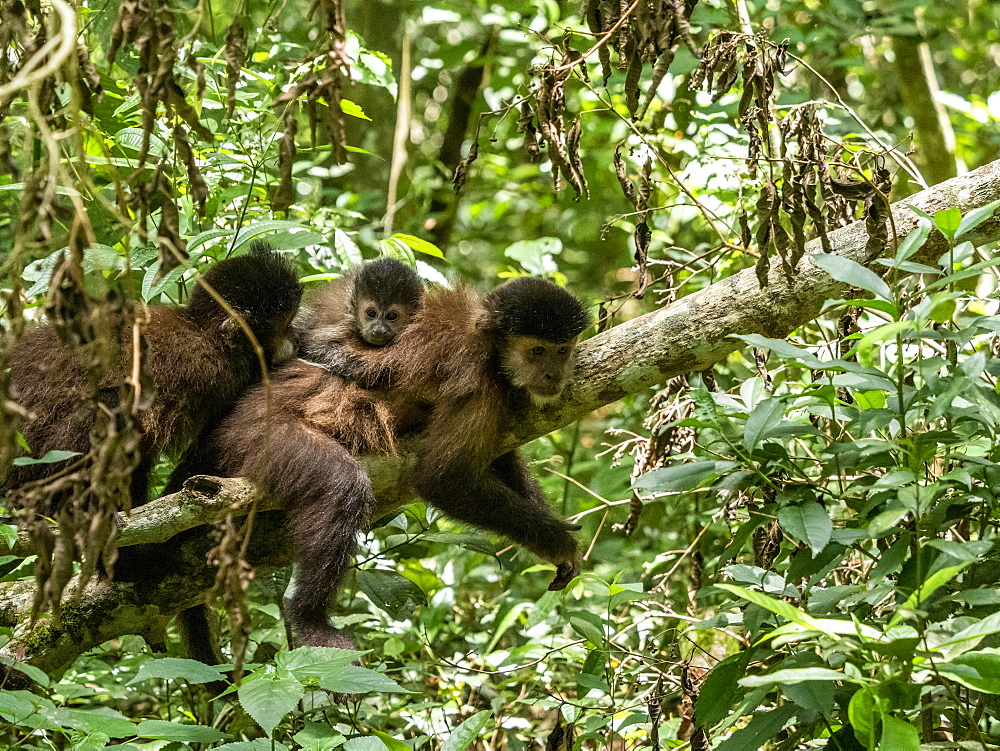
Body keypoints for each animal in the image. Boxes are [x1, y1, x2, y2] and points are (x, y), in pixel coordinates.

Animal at [168, 274, 588, 656]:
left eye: (562, 350)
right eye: (537, 351)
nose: (553, 374)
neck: (487, 338)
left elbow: (498, 456)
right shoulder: (478, 377)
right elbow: (443, 479)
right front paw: (558, 542)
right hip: (258, 437)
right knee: (341, 485)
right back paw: (308, 618)